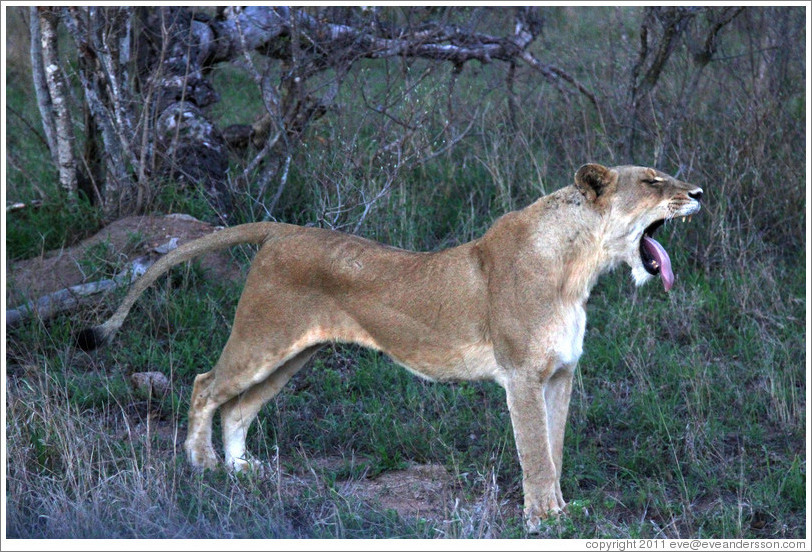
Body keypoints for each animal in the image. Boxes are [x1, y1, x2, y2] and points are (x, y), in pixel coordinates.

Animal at [76, 163, 702, 531]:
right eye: (652, 182)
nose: (699, 191)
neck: (580, 268)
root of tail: (283, 229)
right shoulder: (523, 375)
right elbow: (535, 453)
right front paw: (543, 519)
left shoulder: (560, 374)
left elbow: (555, 446)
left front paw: (562, 511)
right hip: (261, 338)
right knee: (206, 385)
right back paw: (203, 465)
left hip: (293, 355)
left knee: (239, 407)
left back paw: (241, 471)